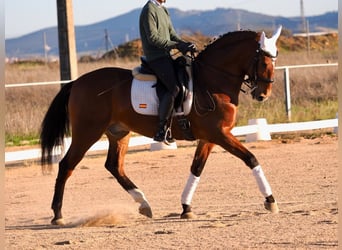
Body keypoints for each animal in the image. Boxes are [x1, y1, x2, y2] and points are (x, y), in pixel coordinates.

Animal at [40, 26, 282, 226]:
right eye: (263, 62)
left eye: (275, 59)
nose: (263, 95)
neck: (213, 79)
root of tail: (76, 83)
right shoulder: (219, 134)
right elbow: (251, 158)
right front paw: (270, 200)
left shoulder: (209, 137)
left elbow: (196, 168)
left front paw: (186, 208)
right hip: (88, 132)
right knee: (67, 165)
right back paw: (58, 215)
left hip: (119, 132)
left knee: (114, 166)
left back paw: (144, 204)